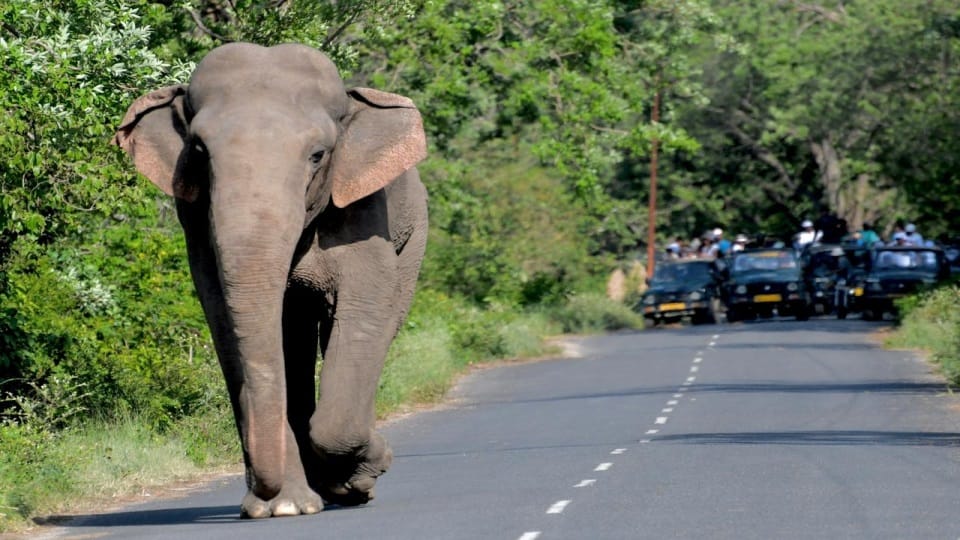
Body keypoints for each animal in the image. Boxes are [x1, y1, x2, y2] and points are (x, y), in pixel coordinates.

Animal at [112, 42, 428, 518]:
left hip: (415, 239)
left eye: (318, 155)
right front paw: (283, 508)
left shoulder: (364, 214)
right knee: (291, 345)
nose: (264, 493)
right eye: (200, 151)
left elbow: (363, 313)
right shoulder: (197, 226)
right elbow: (228, 327)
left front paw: (365, 472)